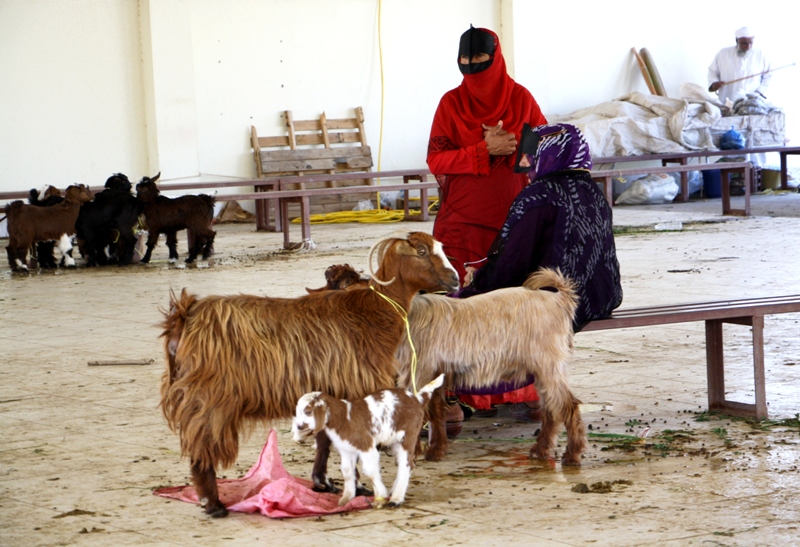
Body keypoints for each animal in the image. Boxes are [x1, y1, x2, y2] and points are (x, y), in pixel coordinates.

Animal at [292, 374, 446, 512]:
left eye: (308, 411)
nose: (298, 426)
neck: (344, 417)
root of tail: (416, 399)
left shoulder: (367, 447)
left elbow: (370, 471)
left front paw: (380, 497)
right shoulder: (346, 450)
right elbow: (347, 472)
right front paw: (347, 498)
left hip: (408, 437)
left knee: (406, 464)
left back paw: (396, 499)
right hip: (395, 441)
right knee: (408, 464)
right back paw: (394, 492)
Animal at [396, 268, 588, 464]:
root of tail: (559, 300)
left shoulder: (419, 373)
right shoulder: (433, 375)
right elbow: (435, 412)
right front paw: (436, 450)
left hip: (548, 365)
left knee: (568, 406)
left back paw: (572, 454)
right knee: (550, 409)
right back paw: (541, 449)